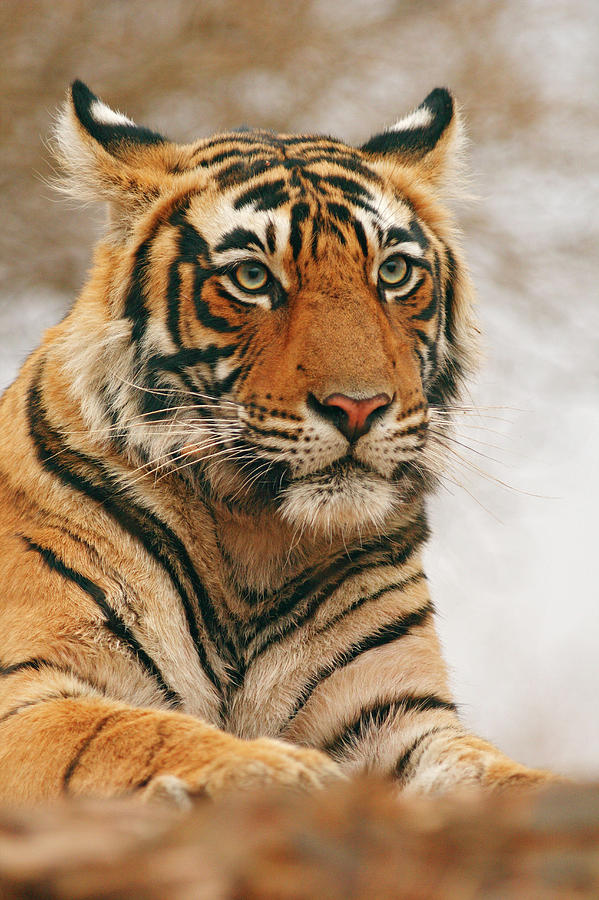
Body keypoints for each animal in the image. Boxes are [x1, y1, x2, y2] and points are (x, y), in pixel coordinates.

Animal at [0, 81, 556, 804]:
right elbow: (127, 731)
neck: (253, 538)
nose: (358, 406)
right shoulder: (29, 684)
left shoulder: (395, 711)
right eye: (252, 279)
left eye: (394, 272)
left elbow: (493, 773)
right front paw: (276, 770)